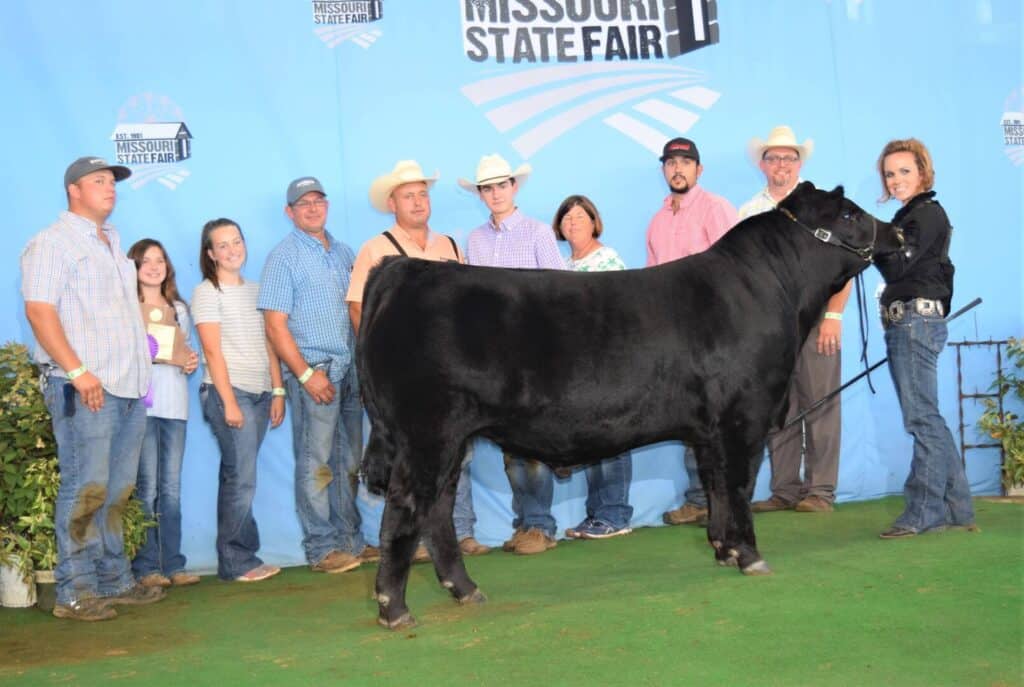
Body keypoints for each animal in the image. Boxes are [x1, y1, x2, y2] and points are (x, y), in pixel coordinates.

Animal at [357, 182, 899, 629]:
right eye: (848, 213)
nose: (895, 231)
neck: (770, 292)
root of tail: (405, 269)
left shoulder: (709, 430)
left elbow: (717, 488)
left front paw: (723, 549)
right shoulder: (743, 418)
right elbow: (740, 487)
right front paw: (749, 555)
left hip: (451, 440)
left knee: (438, 509)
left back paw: (466, 590)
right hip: (427, 432)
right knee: (408, 508)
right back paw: (394, 609)